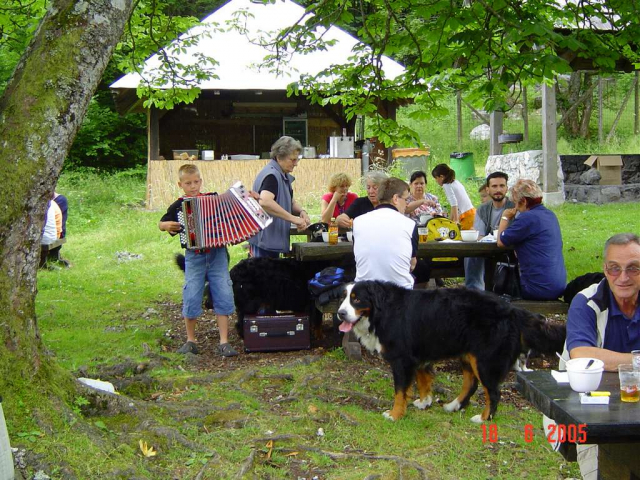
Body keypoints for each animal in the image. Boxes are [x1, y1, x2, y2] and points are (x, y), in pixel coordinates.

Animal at [337, 281, 566, 423]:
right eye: (343, 298)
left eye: (356, 299)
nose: (340, 313)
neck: (382, 311)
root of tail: (514, 310)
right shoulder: (418, 354)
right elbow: (423, 381)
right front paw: (424, 402)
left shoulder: (402, 360)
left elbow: (400, 392)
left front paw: (395, 414)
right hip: (468, 355)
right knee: (471, 385)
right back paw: (453, 406)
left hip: (485, 360)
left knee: (493, 392)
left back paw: (483, 418)